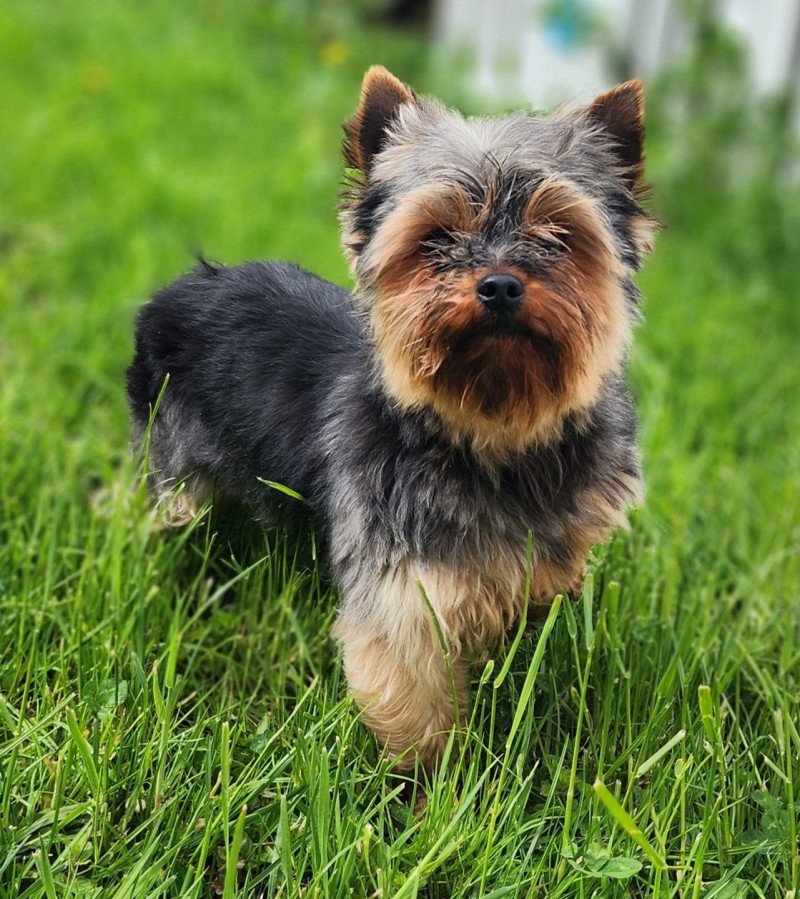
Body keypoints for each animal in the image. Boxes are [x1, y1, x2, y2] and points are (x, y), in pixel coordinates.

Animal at [128, 67, 656, 768]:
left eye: (557, 236)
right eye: (434, 239)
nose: (499, 284)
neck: (489, 433)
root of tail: (186, 286)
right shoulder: (406, 594)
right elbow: (414, 697)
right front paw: (432, 786)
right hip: (172, 462)